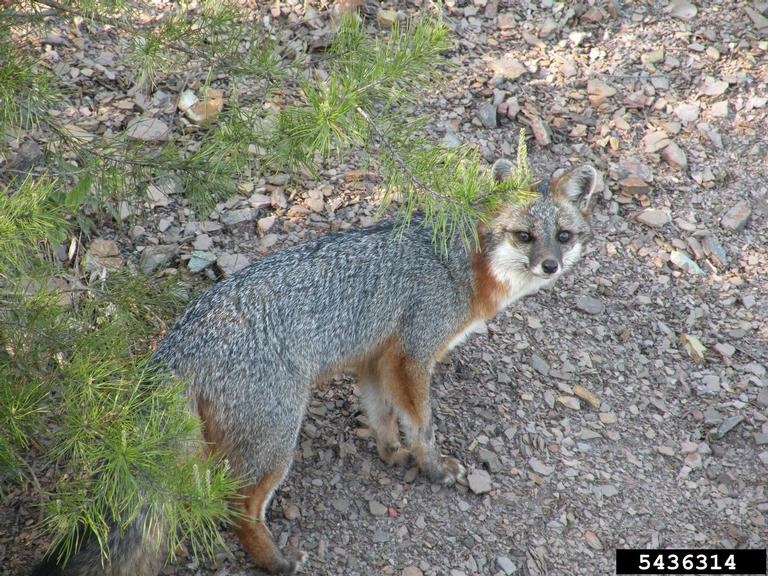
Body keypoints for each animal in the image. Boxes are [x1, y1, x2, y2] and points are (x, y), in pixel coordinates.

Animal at [31, 158, 600, 576]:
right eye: (524, 236)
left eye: (563, 235)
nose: (550, 265)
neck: (462, 263)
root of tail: (179, 340)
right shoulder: (413, 354)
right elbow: (422, 424)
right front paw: (434, 469)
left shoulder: (375, 359)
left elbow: (382, 415)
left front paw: (391, 454)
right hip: (276, 441)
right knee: (237, 508)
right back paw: (276, 563)